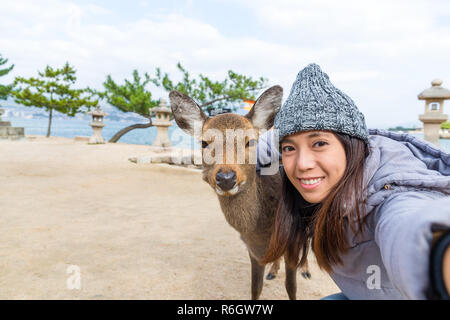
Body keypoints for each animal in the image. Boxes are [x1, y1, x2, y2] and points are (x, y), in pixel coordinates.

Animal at [169, 85, 310, 300]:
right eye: (204, 143)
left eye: (250, 142)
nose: (226, 177)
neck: (263, 230)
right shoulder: (252, 250)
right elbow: (255, 288)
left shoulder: (292, 243)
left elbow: (291, 287)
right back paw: (273, 271)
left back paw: (306, 270)